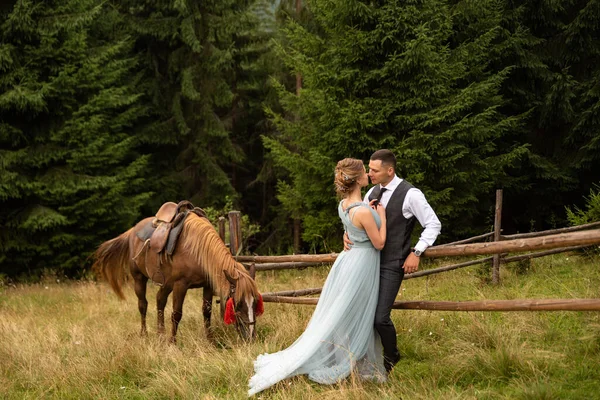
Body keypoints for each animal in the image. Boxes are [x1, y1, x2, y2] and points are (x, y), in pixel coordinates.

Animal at [92, 209, 262, 344]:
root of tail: (133, 230)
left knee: (160, 300)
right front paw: (173, 343)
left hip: (166, 283)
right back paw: (145, 334)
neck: (198, 250)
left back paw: (160, 334)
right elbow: (176, 314)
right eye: (238, 304)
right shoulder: (181, 285)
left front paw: (210, 340)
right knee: (143, 305)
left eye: (255, 303)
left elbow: (206, 312)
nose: (251, 337)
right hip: (139, 278)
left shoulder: (207, 285)